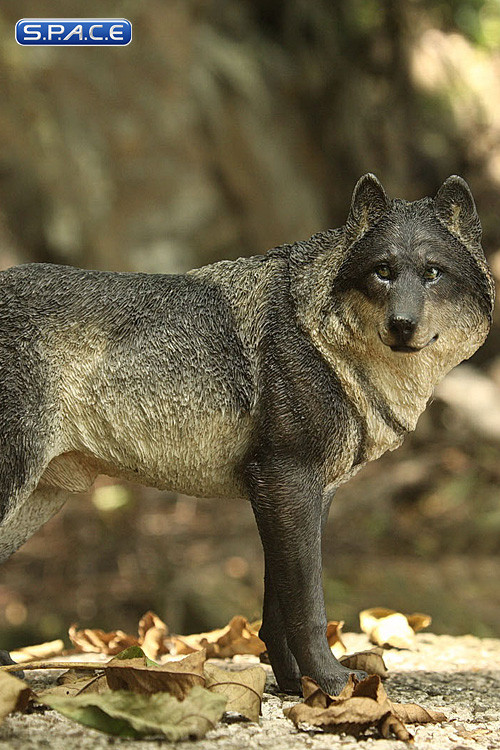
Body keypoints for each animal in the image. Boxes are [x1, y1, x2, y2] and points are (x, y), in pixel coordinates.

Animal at [0, 174, 494, 694]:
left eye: (433, 273)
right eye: (382, 271)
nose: (402, 324)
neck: (323, 343)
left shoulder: (306, 494)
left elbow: (276, 609)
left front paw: (299, 687)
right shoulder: (284, 481)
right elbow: (307, 606)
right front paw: (333, 684)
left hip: (37, 503)